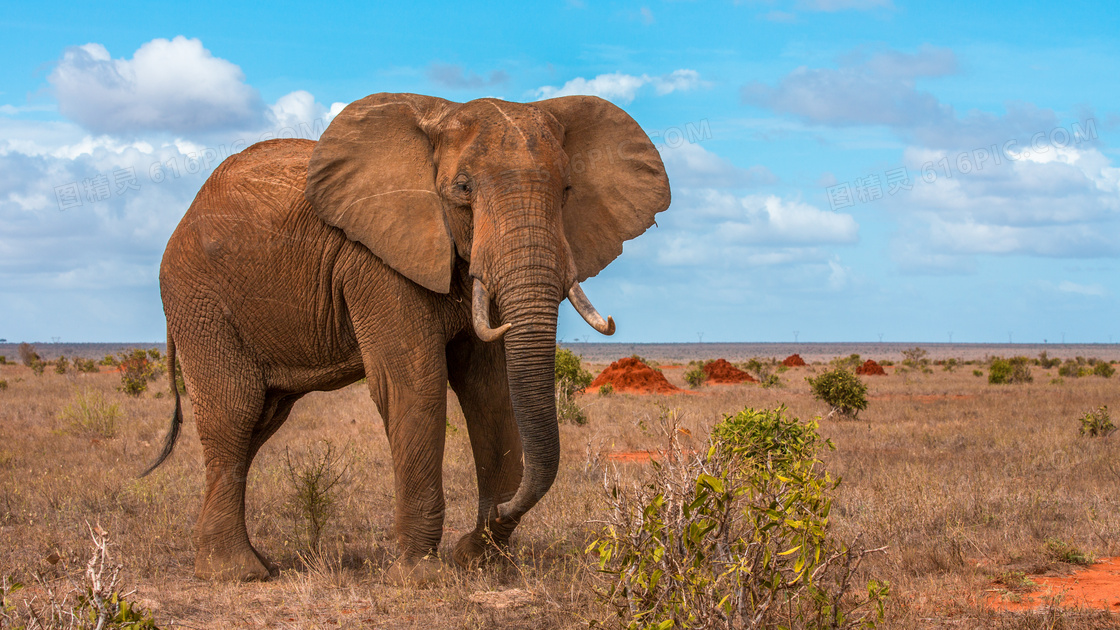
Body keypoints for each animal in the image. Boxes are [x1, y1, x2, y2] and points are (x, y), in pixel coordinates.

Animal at [140, 90, 663, 582]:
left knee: (259, 422)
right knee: (235, 411)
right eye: (463, 189)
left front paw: (479, 562)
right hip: (200, 299)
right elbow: (416, 385)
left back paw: (246, 562)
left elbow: (491, 392)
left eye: (567, 190)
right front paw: (420, 574)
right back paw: (237, 572)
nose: (497, 515)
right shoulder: (376, 261)